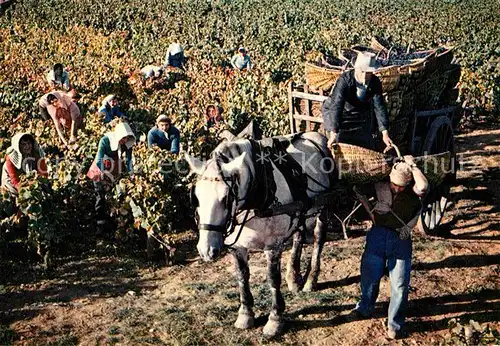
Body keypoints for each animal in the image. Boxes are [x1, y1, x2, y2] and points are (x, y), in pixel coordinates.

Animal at [186, 132, 334, 336]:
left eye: (226, 198)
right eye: (197, 197)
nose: (207, 250)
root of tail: (315, 135)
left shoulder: (273, 246)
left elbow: (272, 279)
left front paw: (275, 319)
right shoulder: (237, 247)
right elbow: (242, 276)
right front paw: (245, 314)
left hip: (323, 208)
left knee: (319, 239)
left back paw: (311, 280)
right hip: (301, 211)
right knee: (298, 235)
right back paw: (293, 277)